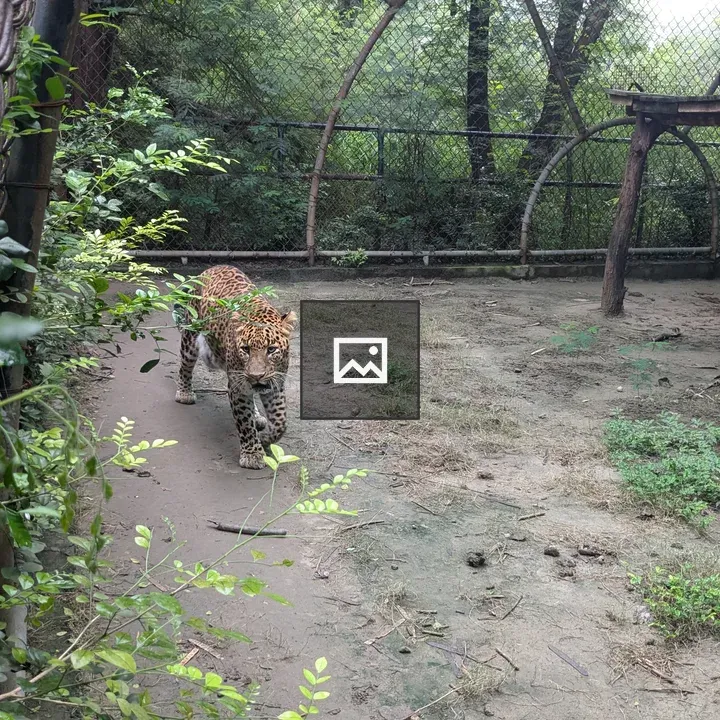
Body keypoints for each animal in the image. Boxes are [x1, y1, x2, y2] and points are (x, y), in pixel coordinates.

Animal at [173, 265, 296, 469]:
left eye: (271, 349)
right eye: (245, 349)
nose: (256, 376)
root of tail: (212, 268)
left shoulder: (275, 383)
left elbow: (281, 421)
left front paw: (265, 438)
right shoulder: (237, 386)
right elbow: (245, 423)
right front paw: (253, 455)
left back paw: (257, 415)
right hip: (191, 337)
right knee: (185, 367)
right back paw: (184, 393)